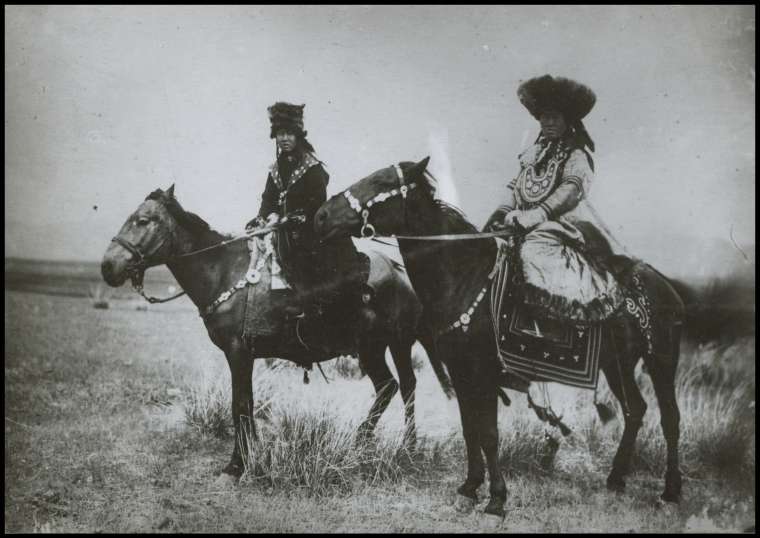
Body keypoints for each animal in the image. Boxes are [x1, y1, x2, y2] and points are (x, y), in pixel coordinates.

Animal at [103, 186, 454, 480]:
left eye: (142, 220)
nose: (108, 267)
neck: (222, 271)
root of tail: (400, 272)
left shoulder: (238, 353)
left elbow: (240, 405)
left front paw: (237, 465)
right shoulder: (244, 356)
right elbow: (247, 404)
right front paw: (249, 457)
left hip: (392, 344)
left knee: (402, 387)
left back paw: (393, 445)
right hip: (378, 348)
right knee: (393, 386)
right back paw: (376, 443)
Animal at [314, 158, 688, 516]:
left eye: (381, 181)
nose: (321, 215)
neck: (465, 277)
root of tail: (664, 285)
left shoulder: (484, 372)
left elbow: (489, 434)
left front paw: (496, 499)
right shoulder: (461, 371)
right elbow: (471, 430)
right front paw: (468, 490)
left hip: (661, 359)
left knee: (670, 418)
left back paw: (670, 494)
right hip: (617, 364)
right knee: (635, 409)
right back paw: (616, 479)